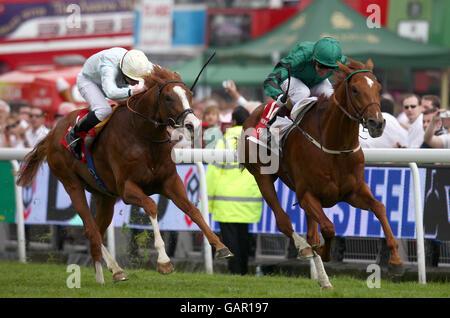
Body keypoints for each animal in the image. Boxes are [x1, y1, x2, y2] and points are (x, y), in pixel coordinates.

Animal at [16, 66, 232, 284]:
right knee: (91, 230)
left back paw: (108, 273)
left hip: (104, 196)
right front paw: (164, 261)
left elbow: (193, 210)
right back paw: (110, 272)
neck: (145, 138)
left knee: (98, 230)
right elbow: (151, 206)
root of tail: (52, 133)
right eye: (169, 98)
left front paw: (221, 247)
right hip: (71, 185)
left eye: (189, 94)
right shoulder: (127, 188)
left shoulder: (170, 182)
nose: (193, 124)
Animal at [243, 57, 404, 288]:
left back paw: (323, 278)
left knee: (311, 232)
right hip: (262, 177)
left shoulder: (353, 192)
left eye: (378, 87)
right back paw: (304, 249)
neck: (334, 145)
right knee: (284, 221)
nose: (377, 123)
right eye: (355, 89)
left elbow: (380, 207)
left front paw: (396, 259)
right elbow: (328, 227)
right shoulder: (308, 194)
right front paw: (324, 253)